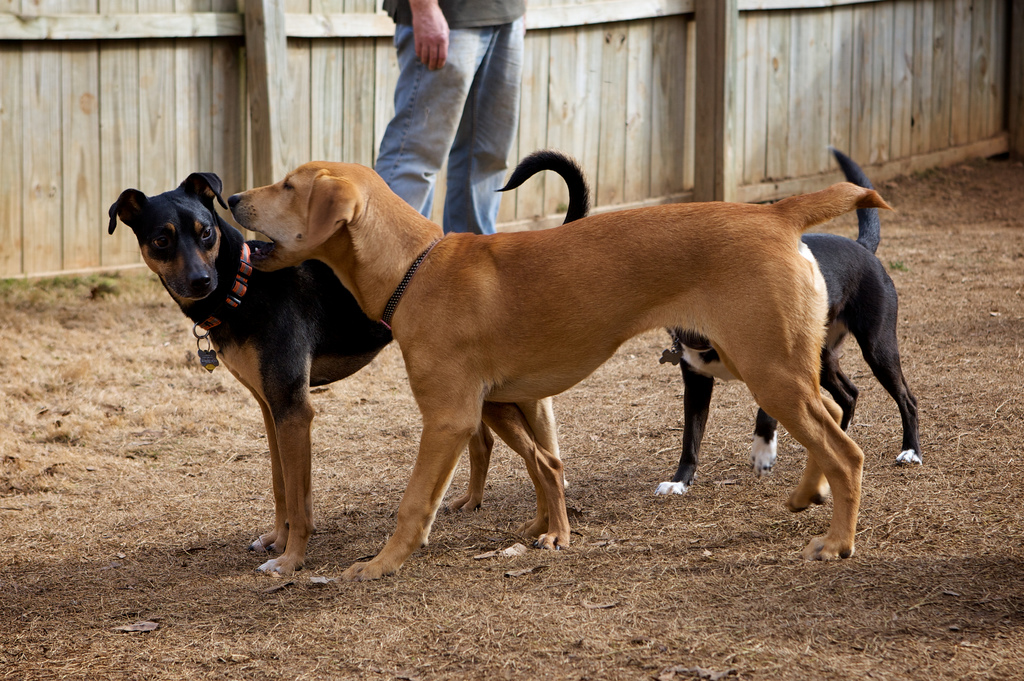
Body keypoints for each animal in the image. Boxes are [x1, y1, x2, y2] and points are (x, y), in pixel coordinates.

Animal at [228, 155, 892, 577]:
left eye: (287, 185)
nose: (232, 197)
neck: (417, 266)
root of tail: (776, 215)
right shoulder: (504, 403)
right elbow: (543, 467)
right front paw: (545, 533)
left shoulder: (448, 420)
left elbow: (415, 502)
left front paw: (380, 565)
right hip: (780, 369)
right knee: (829, 416)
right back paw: (807, 495)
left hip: (768, 372)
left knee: (847, 450)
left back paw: (837, 542)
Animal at [659, 147, 925, 493]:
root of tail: (862, 247)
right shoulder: (696, 382)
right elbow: (690, 438)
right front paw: (679, 482)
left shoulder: (778, 367)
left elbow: (764, 415)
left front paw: (763, 452)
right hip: (823, 358)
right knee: (849, 394)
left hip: (878, 348)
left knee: (907, 399)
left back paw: (910, 451)